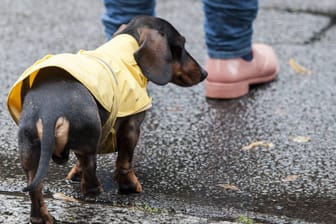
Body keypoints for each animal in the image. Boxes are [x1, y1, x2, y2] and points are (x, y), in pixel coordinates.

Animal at [7, 15, 207, 222]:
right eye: (180, 46)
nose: (204, 73)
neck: (127, 49)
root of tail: (49, 112)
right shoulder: (131, 127)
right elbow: (125, 160)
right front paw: (130, 186)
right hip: (87, 141)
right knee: (89, 172)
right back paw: (95, 190)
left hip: (31, 151)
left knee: (36, 187)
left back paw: (43, 217)